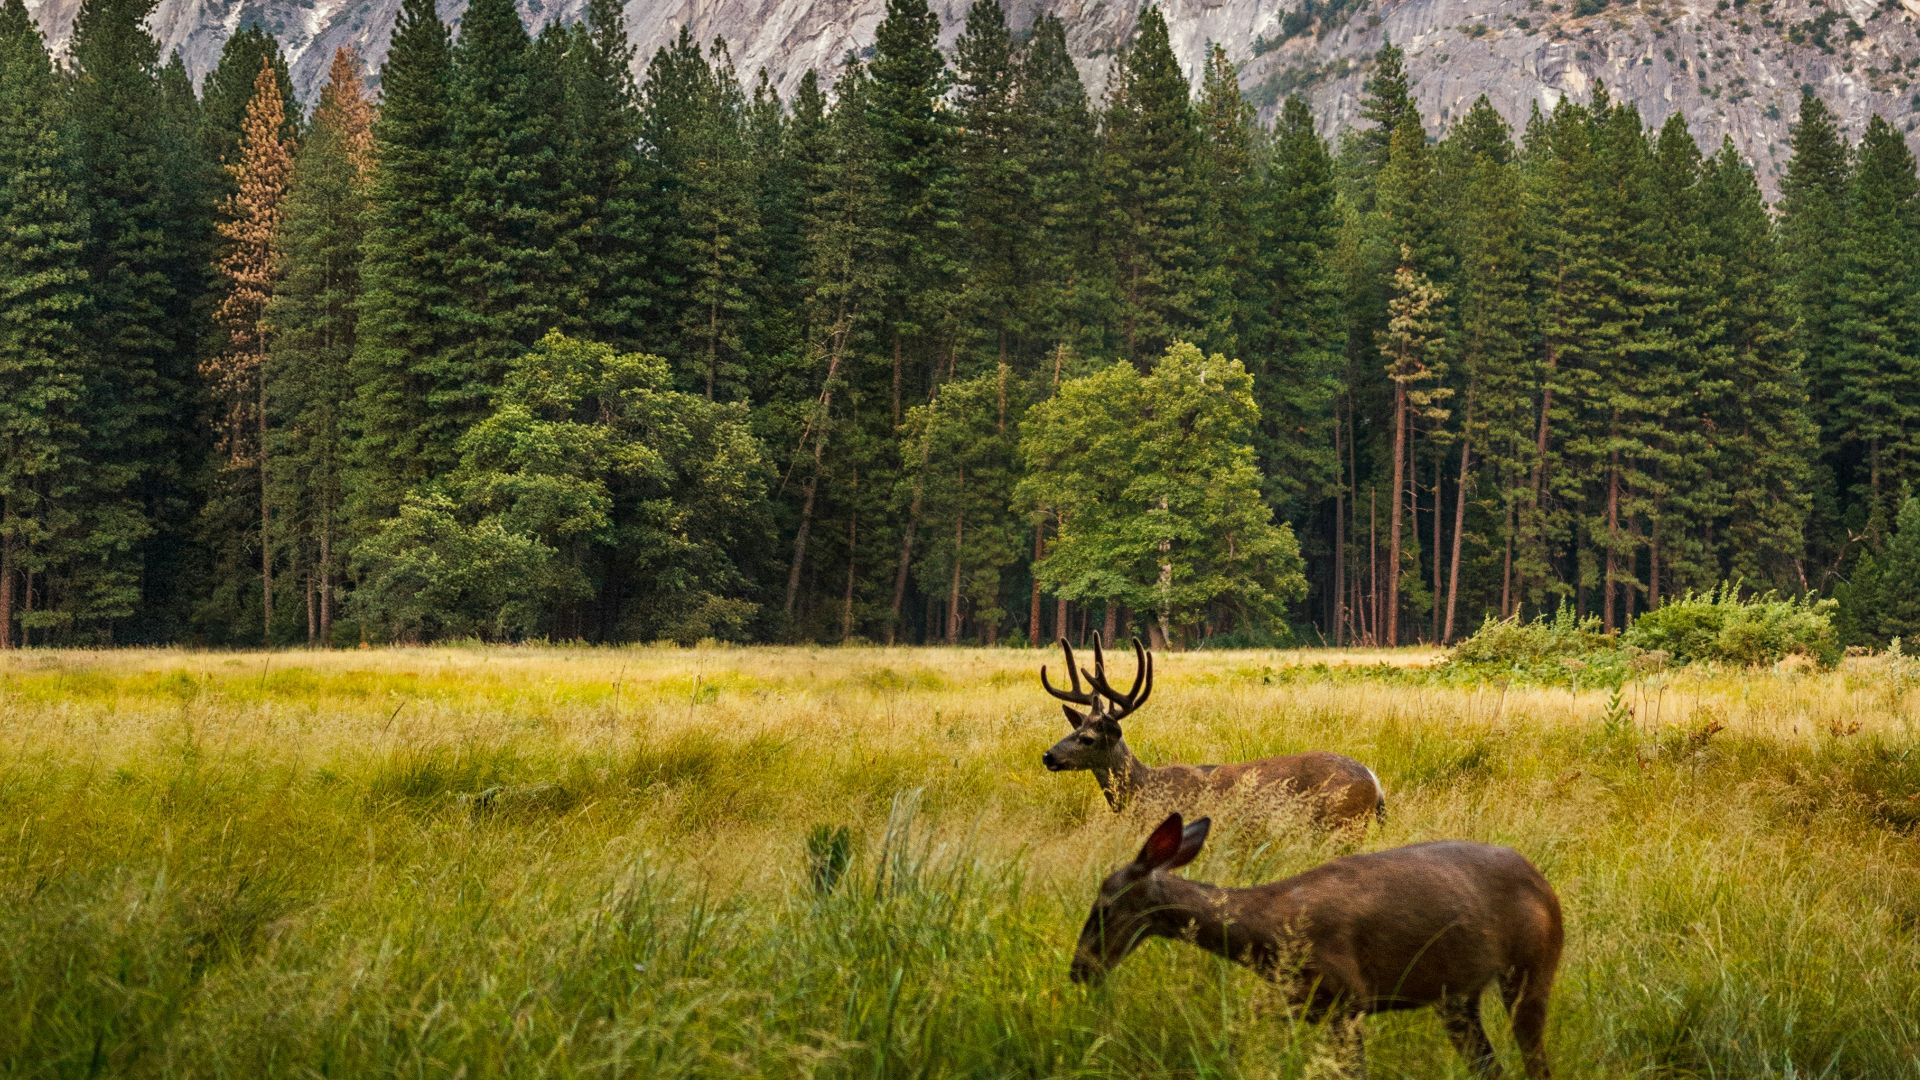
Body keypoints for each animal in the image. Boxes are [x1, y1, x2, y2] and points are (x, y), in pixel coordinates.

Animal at [1038, 635, 1384, 829]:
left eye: (1088, 739)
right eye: (1073, 729)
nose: (1048, 756)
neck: (1143, 788)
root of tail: (1375, 780)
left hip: (1344, 823)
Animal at [1070, 813, 1563, 1079]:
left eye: (1103, 907)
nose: (1079, 969)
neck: (1268, 931)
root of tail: (1545, 886)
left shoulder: (1348, 997)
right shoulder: (1297, 1001)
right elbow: (1235, 1040)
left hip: (1532, 968)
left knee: (1536, 1062)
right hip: (1457, 998)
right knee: (1491, 1066)